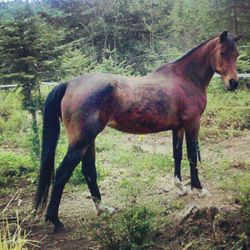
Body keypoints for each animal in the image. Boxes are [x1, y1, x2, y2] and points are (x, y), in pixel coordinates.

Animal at [34, 31, 242, 232]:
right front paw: (198, 189)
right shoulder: (192, 124)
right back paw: (55, 221)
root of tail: (69, 84)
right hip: (81, 142)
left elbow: (177, 155)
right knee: (62, 173)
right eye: (222, 53)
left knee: (88, 170)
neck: (185, 79)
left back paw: (102, 209)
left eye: (237, 54)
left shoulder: (178, 128)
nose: (233, 83)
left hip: (89, 140)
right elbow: (191, 156)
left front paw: (180, 187)